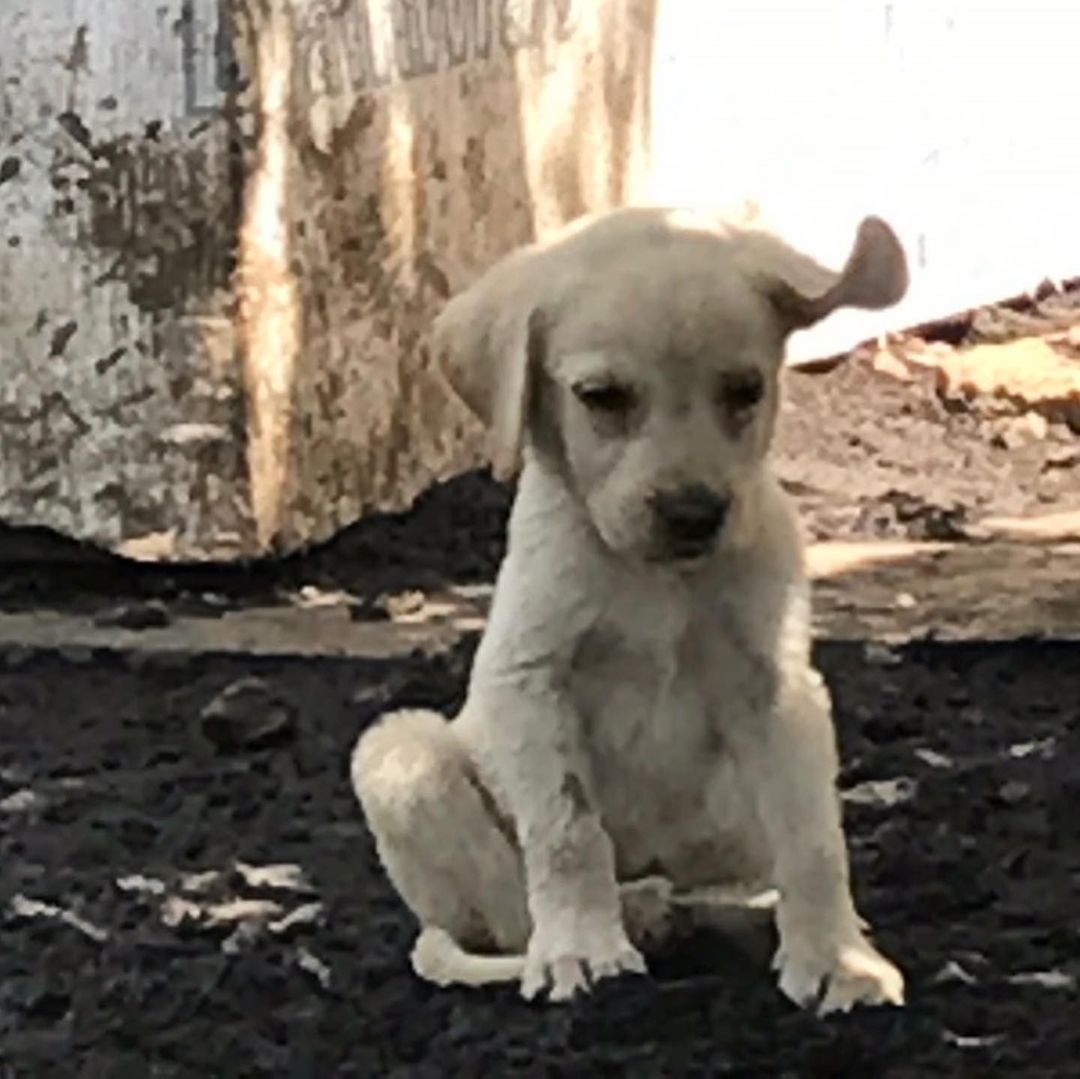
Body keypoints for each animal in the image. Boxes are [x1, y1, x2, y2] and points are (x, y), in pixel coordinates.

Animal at [351, 206, 908, 1014]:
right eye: (602, 396)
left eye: (746, 388)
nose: (694, 513)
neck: (658, 582)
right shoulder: (531, 681)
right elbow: (569, 829)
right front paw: (582, 948)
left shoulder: (780, 691)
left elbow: (811, 838)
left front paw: (840, 958)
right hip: (401, 758)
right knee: (511, 916)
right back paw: (630, 915)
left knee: (734, 881)